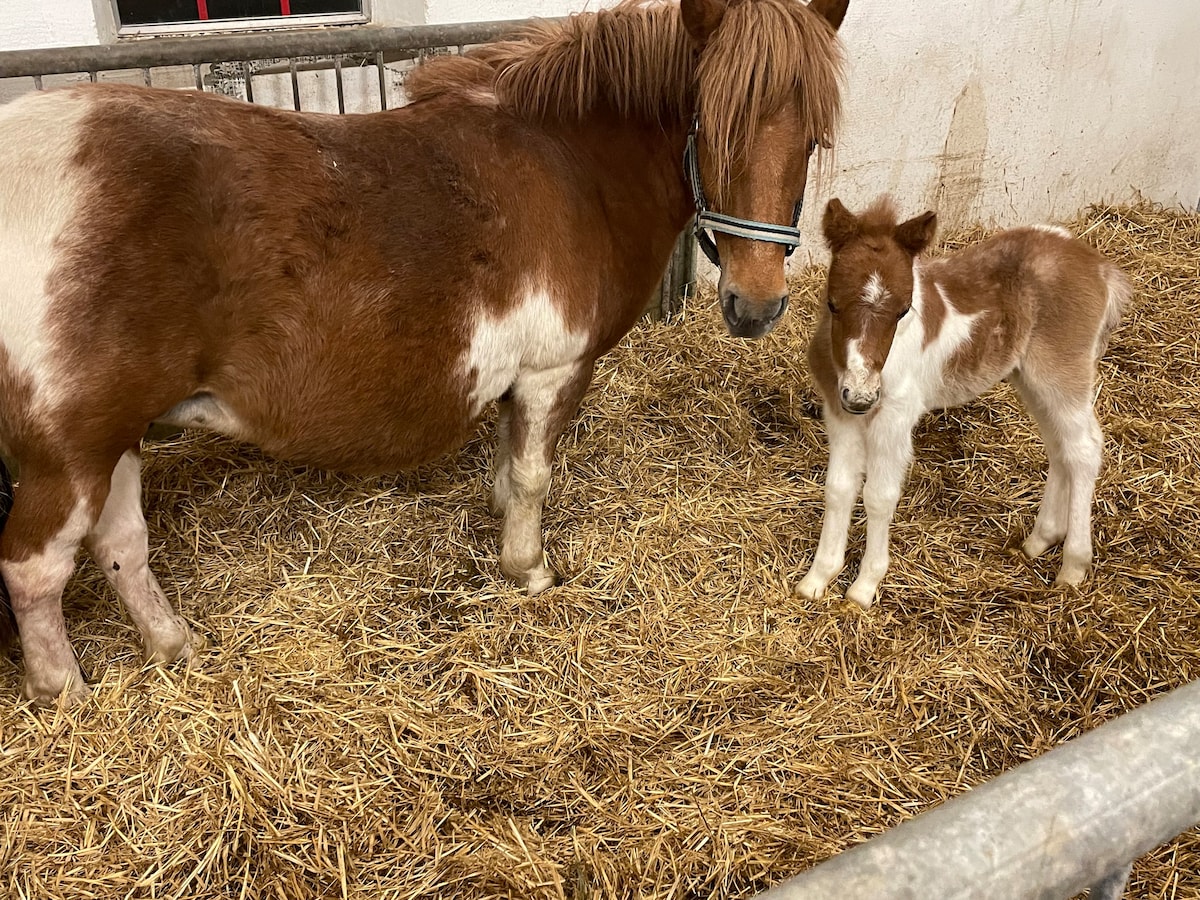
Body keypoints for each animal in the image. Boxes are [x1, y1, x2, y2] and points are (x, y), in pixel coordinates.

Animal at [0, 0, 849, 705]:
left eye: (811, 137)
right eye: (712, 125)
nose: (756, 302)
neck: (572, 166)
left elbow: (508, 463)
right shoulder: (553, 372)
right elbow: (534, 476)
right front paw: (528, 570)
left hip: (118, 432)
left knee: (120, 546)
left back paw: (174, 645)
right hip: (70, 450)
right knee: (35, 569)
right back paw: (65, 694)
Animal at [796, 200, 1123, 609]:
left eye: (904, 310)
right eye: (832, 304)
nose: (861, 395)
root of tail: (1098, 266)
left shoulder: (894, 418)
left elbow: (878, 496)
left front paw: (864, 587)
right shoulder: (840, 413)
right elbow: (838, 489)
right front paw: (817, 578)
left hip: (1062, 372)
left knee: (1083, 449)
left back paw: (1073, 567)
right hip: (1030, 379)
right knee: (1059, 447)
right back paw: (1039, 541)